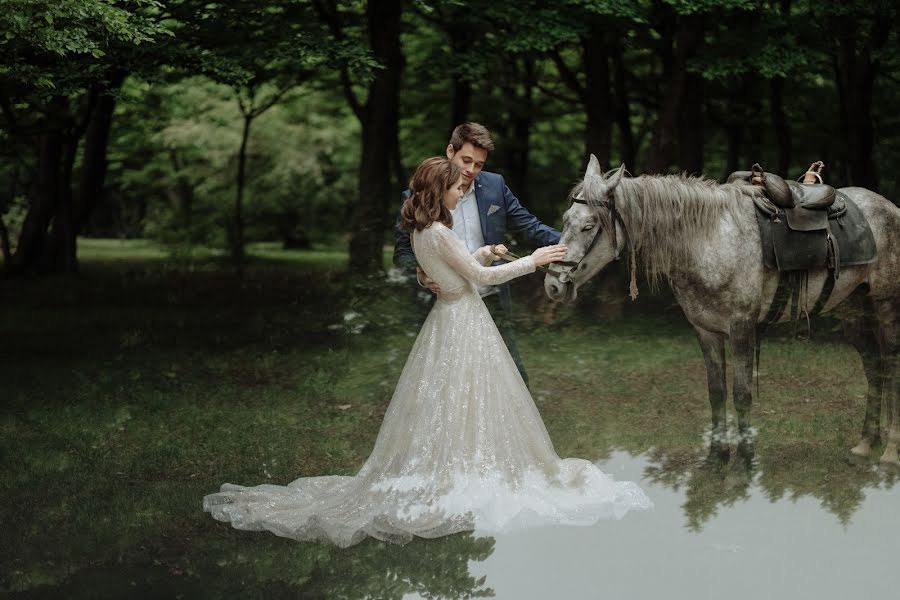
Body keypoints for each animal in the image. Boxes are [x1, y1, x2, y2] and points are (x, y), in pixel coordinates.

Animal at [540, 155, 900, 464]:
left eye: (589, 227)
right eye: (566, 220)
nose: (553, 285)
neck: (709, 239)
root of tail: (890, 207)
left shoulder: (741, 328)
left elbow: (741, 394)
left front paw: (744, 463)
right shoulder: (706, 331)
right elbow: (716, 392)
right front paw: (717, 459)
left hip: (886, 306)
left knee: (891, 365)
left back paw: (889, 453)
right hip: (854, 308)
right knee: (874, 366)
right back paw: (865, 444)